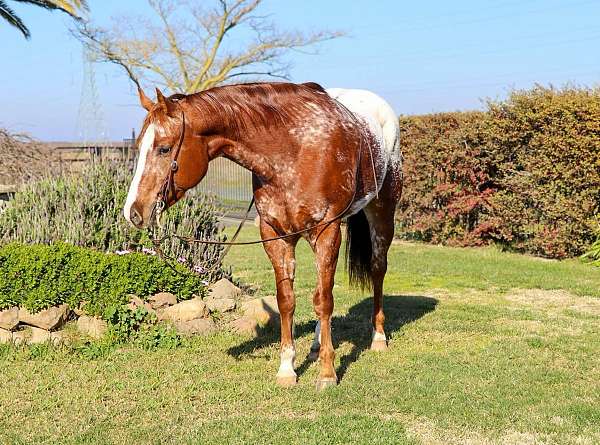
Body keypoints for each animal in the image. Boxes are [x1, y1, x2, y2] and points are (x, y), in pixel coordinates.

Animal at [123, 81, 400, 386]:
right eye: (139, 146)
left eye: (164, 148)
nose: (133, 211)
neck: (293, 152)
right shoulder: (275, 236)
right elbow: (288, 301)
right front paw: (287, 368)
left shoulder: (326, 231)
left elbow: (324, 302)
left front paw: (327, 373)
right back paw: (316, 345)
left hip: (382, 214)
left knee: (377, 270)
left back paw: (378, 338)